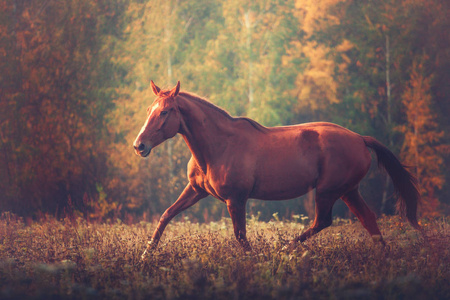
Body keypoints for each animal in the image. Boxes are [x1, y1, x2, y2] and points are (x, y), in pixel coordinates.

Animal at [134, 81, 422, 258]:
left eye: (166, 112)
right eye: (149, 109)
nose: (139, 145)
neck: (218, 144)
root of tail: (360, 138)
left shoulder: (235, 199)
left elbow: (240, 235)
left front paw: (256, 259)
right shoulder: (196, 190)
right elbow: (166, 215)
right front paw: (146, 254)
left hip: (328, 191)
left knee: (322, 221)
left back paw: (282, 249)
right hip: (348, 190)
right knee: (368, 218)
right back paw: (383, 257)